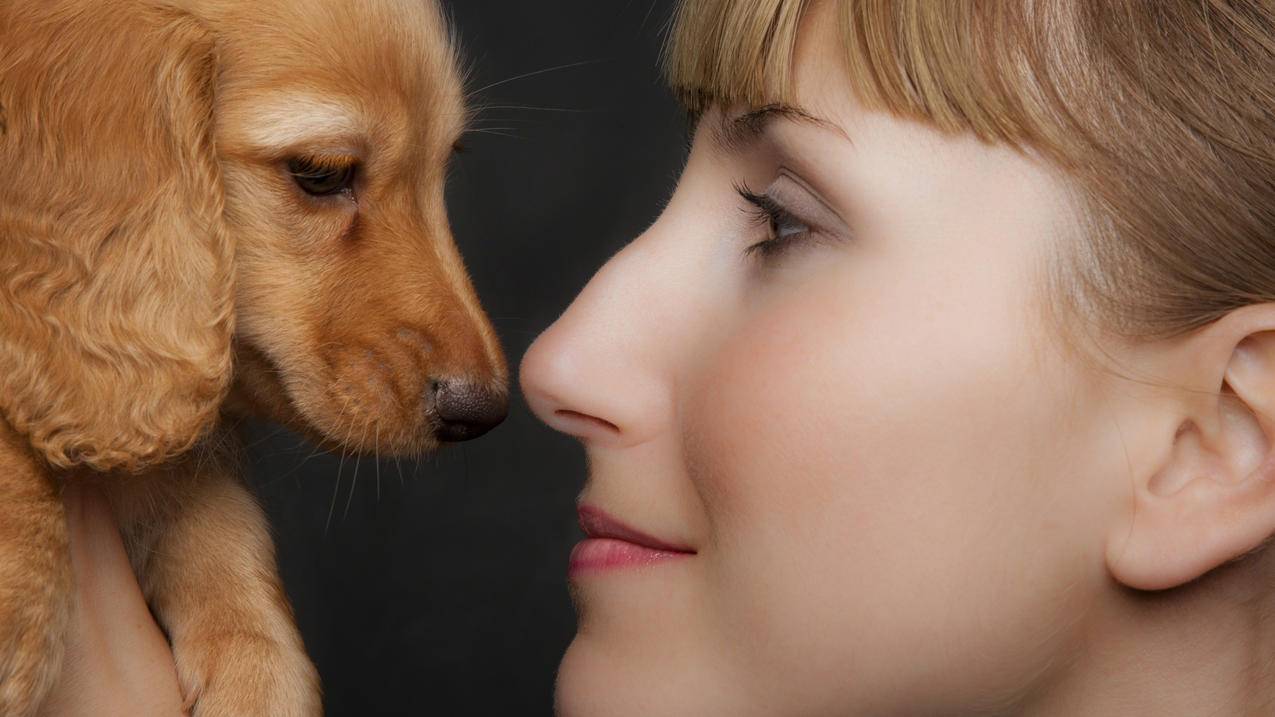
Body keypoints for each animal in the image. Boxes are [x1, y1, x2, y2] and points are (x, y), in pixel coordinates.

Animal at [0, 2, 507, 709]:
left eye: (442, 172)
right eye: (321, 173)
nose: (481, 412)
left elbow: (215, 508)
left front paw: (257, 671)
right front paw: (19, 591)